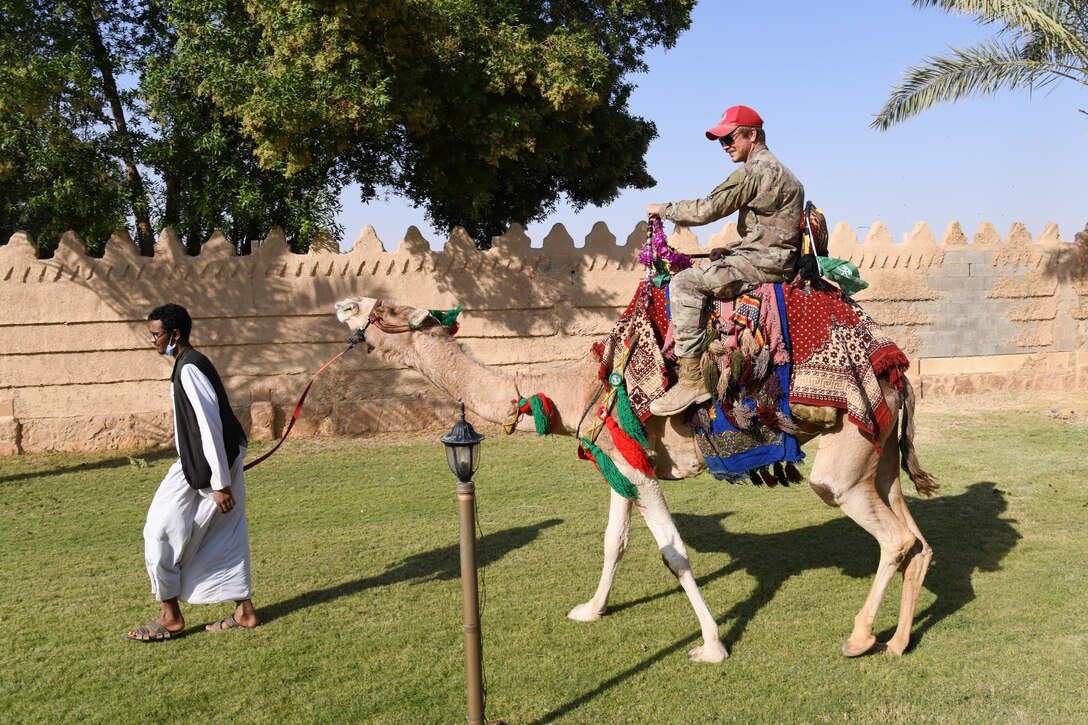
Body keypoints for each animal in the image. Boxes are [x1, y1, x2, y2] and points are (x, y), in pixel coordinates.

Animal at [330, 293, 935, 661]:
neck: (573, 390)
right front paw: (590, 610)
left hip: (846, 460)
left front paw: (711, 645)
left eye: (385, 307)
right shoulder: (618, 465)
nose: (343, 305)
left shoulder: (639, 471)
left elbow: (674, 554)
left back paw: (859, 637)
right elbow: (613, 543)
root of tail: (897, 374)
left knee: (891, 537)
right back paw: (899, 642)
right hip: (881, 458)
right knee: (918, 540)